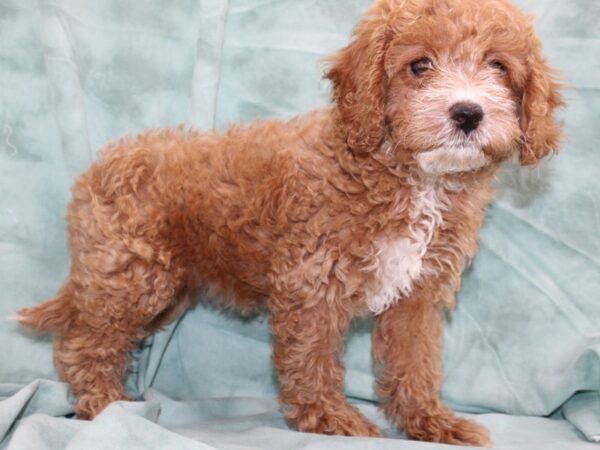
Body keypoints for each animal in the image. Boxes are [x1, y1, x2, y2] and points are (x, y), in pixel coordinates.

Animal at [18, 0, 564, 444]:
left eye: (498, 66)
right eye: (419, 66)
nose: (467, 113)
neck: (408, 175)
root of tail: (98, 167)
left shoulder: (416, 296)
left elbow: (416, 364)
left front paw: (430, 422)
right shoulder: (312, 285)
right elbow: (312, 360)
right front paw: (331, 421)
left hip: (162, 291)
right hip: (132, 276)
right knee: (84, 342)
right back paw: (102, 405)